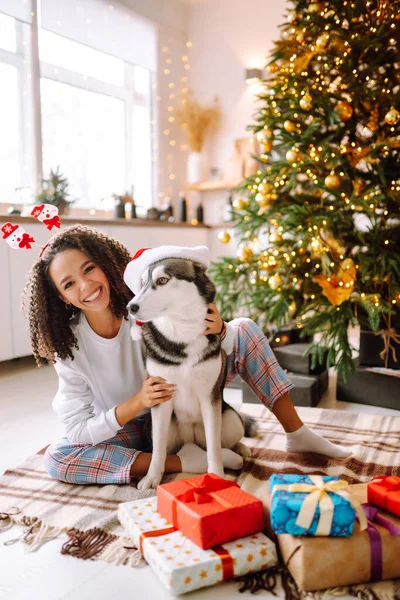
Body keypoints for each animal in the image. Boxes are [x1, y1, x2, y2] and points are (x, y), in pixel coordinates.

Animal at [123, 246, 255, 490]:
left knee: (227, 439)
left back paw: (240, 449)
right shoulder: (160, 396)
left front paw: (217, 476)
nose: (131, 307)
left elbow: (214, 447)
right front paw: (152, 478)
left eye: (162, 280)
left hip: (231, 420)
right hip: (153, 426)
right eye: (143, 283)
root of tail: (191, 439)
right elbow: (158, 451)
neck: (181, 331)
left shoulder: (209, 399)